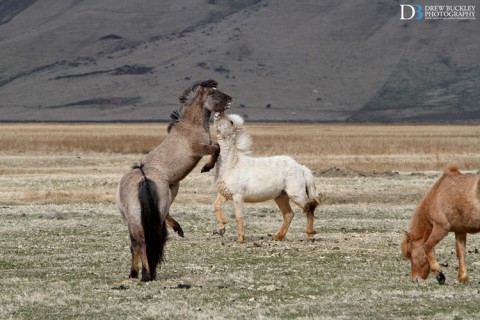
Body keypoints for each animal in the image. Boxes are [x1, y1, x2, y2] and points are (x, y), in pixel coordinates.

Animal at [117, 80, 232, 280]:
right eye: (213, 93)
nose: (230, 99)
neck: (190, 127)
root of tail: (143, 175)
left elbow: (217, 146)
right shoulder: (199, 149)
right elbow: (216, 148)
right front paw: (206, 167)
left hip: (172, 187)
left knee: (160, 220)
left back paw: (176, 230)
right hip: (171, 188)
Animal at [213, 112, 318, 240]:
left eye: (231, 122)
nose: (218, 113)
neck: (232, 164)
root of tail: (300, 168)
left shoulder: (238, 196)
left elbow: (239, 216)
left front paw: (241, 238)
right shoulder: (225, 193)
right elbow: (216, 205)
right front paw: (221, 228)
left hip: (296, 195)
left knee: (309, 208)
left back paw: (310, 235)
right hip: (281, 196)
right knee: (289, 214)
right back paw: (278, 237)